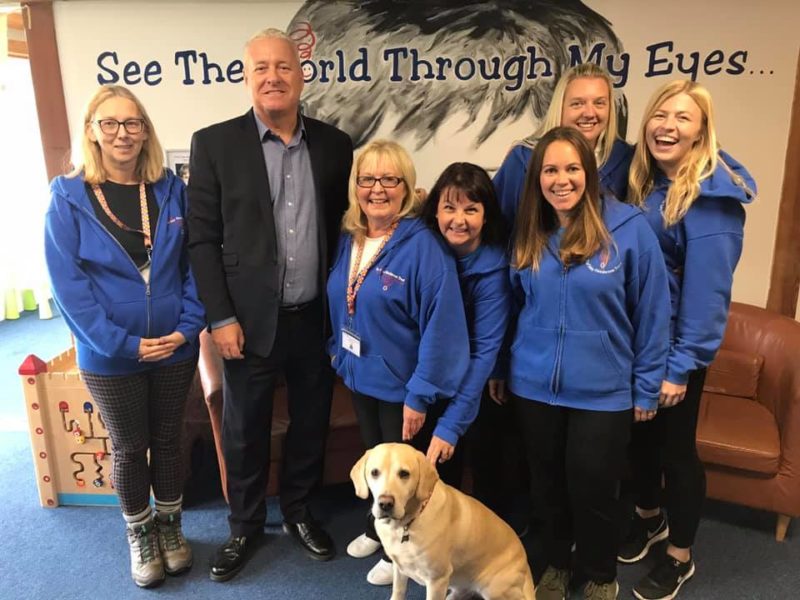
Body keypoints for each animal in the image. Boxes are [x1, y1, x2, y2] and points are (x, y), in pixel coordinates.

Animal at [352, 442, 536, 596]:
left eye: (404, 474)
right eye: (374, 472)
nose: (385, 504)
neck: (406, 525)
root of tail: (526, 566)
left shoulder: (436, 580)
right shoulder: (399, 568)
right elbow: (398, 592)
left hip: (492, 586)